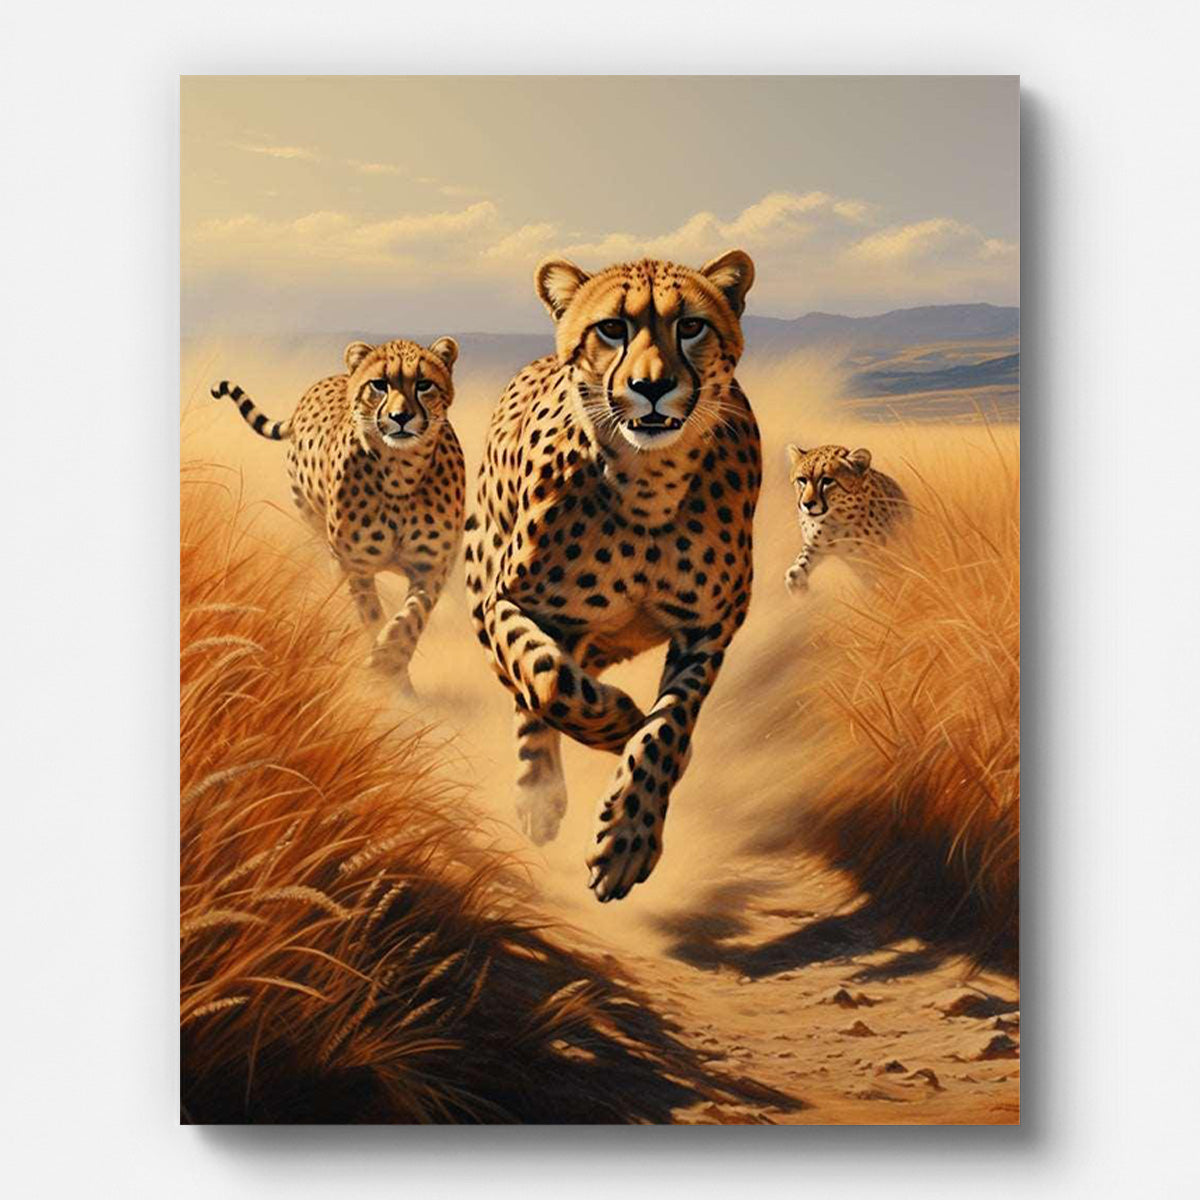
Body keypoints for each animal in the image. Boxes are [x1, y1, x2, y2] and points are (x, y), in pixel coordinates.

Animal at [212, 337, 465, 694]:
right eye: (379, 384)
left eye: (423, 384)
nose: (401, 417)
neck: (400, 472)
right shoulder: (354, 565)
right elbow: (370, 614)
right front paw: (385, 674)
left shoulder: (432, 567)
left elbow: (410, 619)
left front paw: (390, 665)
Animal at [464, 250, 761, 902]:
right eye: (611, 328)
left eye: (691, 326)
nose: (651, 387)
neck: (648, 481)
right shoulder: (508, 603)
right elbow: (548, 680)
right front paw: (619, 721)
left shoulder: (709, 632)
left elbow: (667, 729)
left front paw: (627, 838)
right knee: (530, 700)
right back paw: (540, 798)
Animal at [783, 442, 908, 594]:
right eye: (802, 480)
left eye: (827, 480)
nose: (807, 504)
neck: (834, 520)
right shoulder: (815, 544)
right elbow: (803, 559)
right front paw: (796, 579)